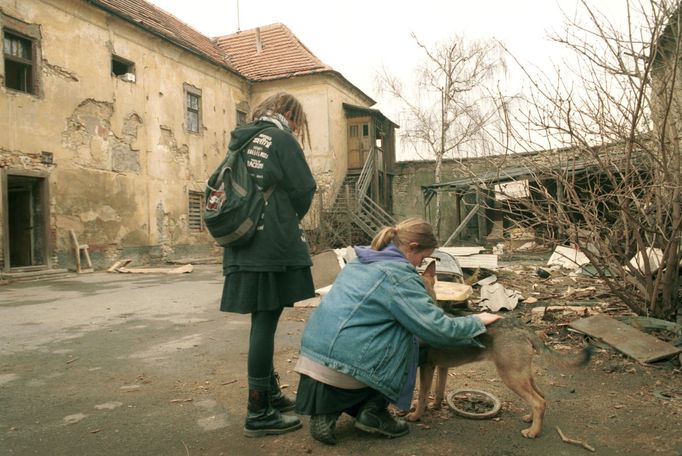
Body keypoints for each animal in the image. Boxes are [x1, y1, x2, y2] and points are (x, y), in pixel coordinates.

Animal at [406, 262, 592, 440]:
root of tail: (523, 327)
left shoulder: (427, 367)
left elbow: (422, 395)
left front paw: (416, 416)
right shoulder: (441, 367)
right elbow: (438, 391)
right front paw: (435, 407)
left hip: (511, 376)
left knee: (539, 402)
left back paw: (533, 432)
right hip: (523, 374)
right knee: (541, 396)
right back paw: (531, 420)